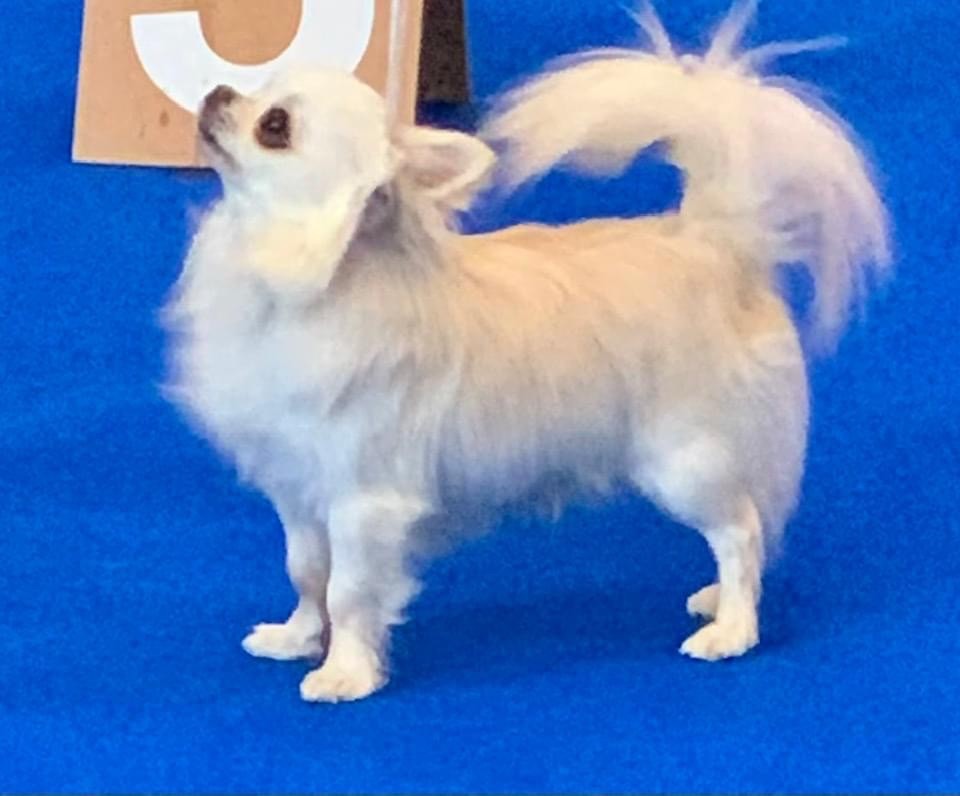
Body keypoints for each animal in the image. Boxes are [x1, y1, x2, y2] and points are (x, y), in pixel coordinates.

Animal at [163, 1, 890, 702]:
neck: (283, 273)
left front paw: (345, 673)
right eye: (259, 88)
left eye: (275, 126)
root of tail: (714, 241)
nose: (219, 91)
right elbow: (308, 571)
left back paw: (733, 629)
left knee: (740, 530)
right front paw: (296, 637)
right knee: (749, 525)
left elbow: (349, 590)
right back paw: (719, 602)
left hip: (683, 461)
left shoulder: (363, 501)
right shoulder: (298, 488)